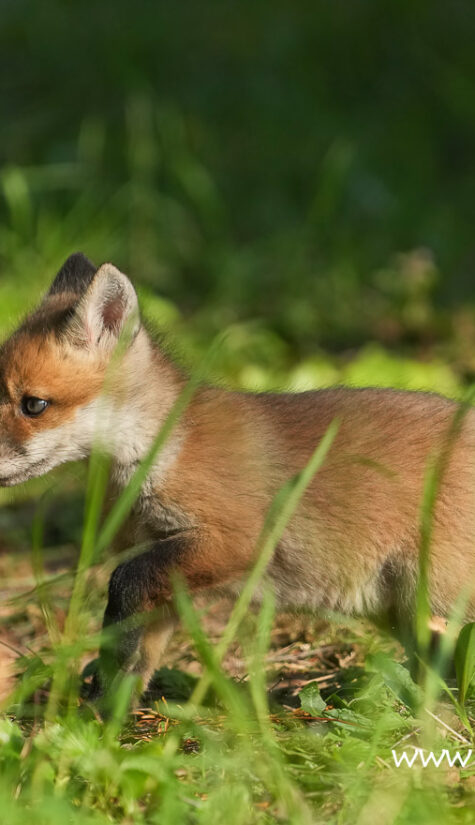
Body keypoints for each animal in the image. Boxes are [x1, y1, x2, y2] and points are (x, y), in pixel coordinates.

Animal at [1, 252, 475, 701]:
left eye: (34, 405)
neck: (165, 452)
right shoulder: (166, 563)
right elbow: (141, 651)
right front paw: (108, 710)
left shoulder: (232, 541)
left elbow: (122, 584)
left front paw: (100, 698)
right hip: (408, 612)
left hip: (435, 596)